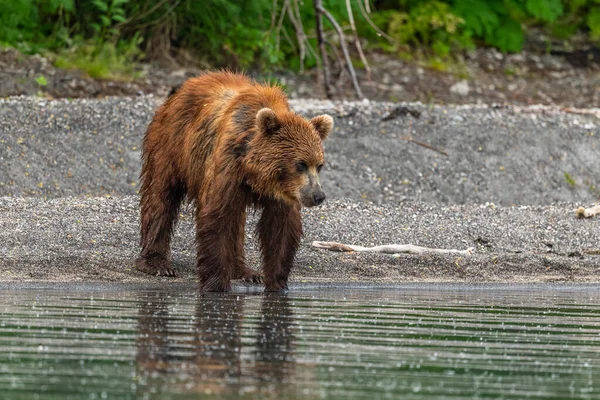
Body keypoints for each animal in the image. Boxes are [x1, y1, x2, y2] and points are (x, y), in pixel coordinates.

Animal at [135, 71, 332, 290]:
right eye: (300, 164)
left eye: (319, 165)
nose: (318, 195)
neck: (257, 174)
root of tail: (180, 90)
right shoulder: (227, 167)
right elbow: (217, 216)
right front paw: (216, 284)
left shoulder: (283, 194)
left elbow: (280, 229)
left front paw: (277, 284)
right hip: (170, 145)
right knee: (160, 198)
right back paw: (157, 264)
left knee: (237, 221)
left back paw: (245, 271)